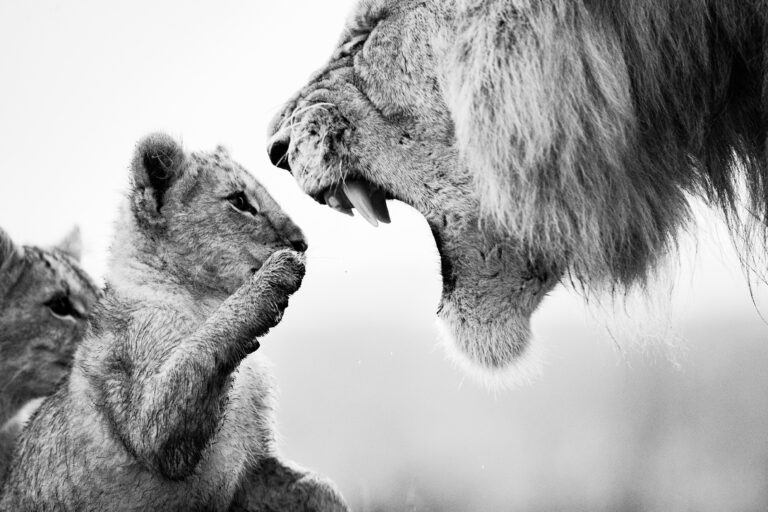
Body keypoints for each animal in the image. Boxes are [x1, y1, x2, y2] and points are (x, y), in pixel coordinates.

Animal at [0, 134, 348, 511]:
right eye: (239, 201)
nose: (302, 243)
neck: (203, 298)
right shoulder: (150, 422)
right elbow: (201, 351)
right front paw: (277, 275)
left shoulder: (253, 471)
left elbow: (316, 487)